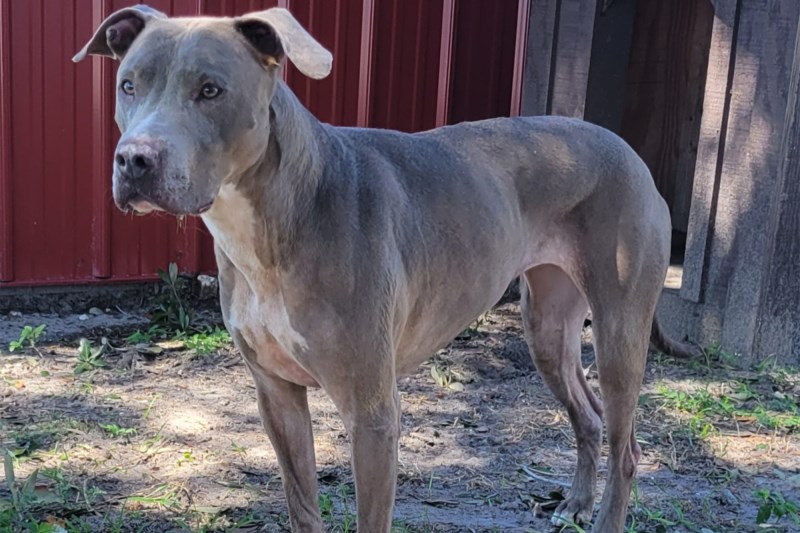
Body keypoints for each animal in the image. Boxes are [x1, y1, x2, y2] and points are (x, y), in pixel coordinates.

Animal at [75, 6, 692, 528]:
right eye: (128, 85)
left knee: (627, 447)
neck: (276, 217)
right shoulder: (277, 396)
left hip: (619, 333)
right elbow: (303, 505)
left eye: (210, 90)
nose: (134, 159)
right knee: (588, 416)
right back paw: (576, 504)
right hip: (547, 327)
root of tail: (628, 149)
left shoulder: (372, 413)